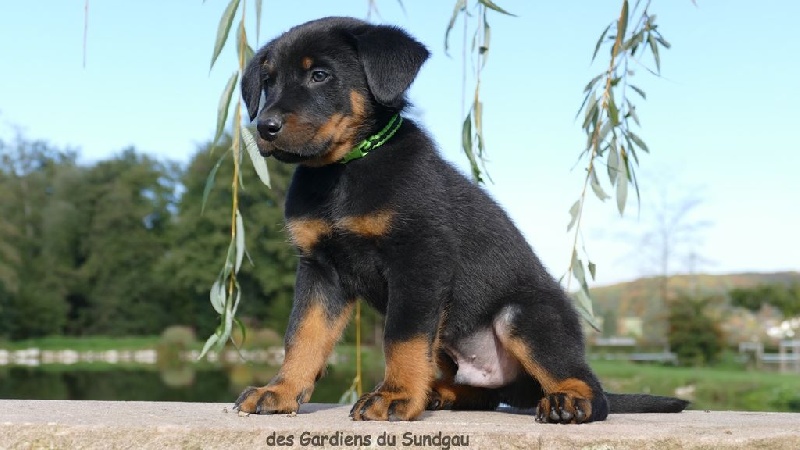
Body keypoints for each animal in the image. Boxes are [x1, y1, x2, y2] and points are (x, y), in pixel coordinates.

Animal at [233, 16, 689, 423]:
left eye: (320, 75)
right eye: (269, 81)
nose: (264, 127)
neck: (343, 170)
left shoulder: (419, 259)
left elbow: (401, 337)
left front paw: (395, 396)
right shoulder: (320, 268)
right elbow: (303, 335)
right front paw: (280, 391)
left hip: (522, 316)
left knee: (589, 388)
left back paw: (569, 402)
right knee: (487, 394)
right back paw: (439, 392)